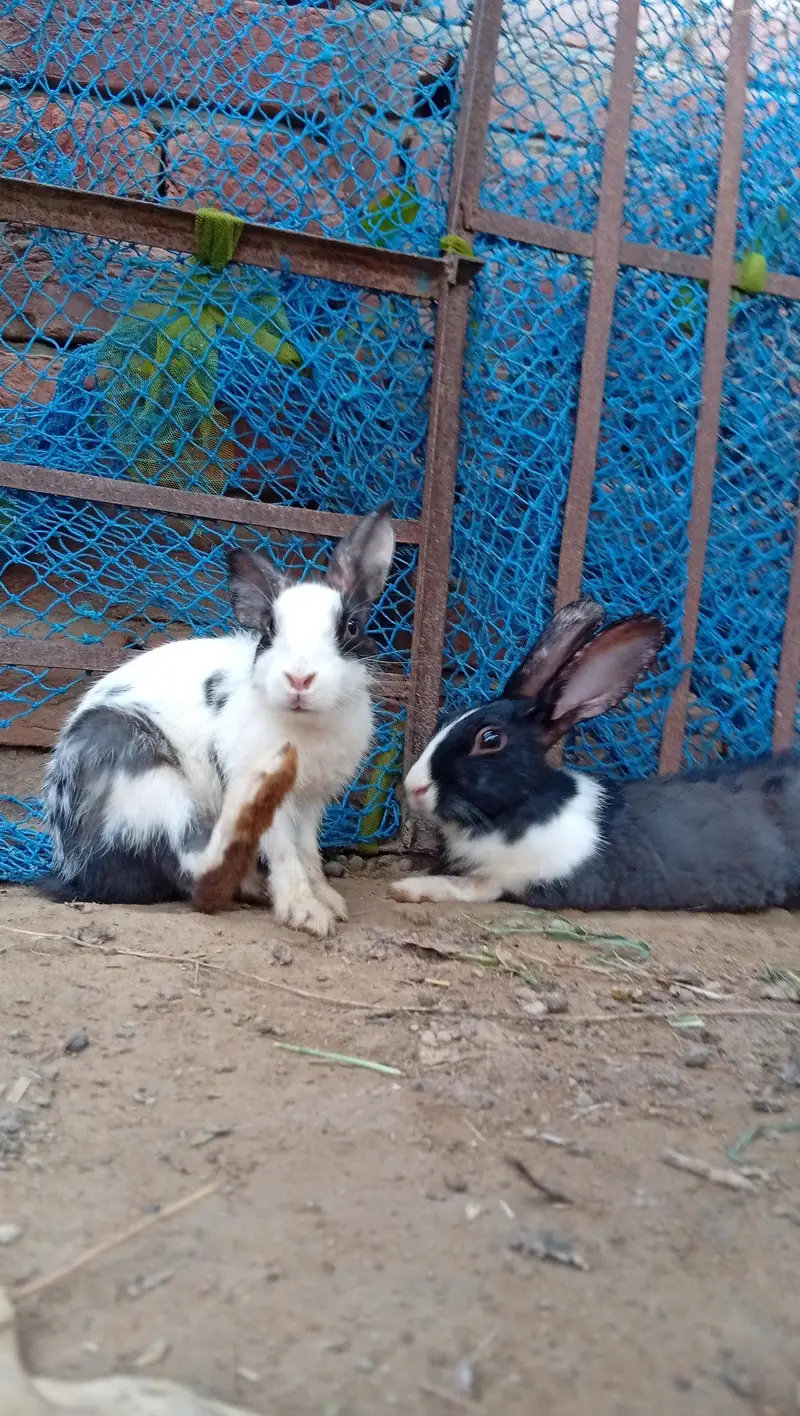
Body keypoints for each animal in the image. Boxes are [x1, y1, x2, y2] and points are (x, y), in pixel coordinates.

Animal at [43, 505, 396, 936]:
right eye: (270, 630)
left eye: (350, 627)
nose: (299, 678)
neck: (305, 725)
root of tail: (77, 872)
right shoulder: (276, 806)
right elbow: (286, 855)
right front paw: (307, 913)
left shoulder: (312, 804)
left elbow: (308, 853)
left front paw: (328, 900)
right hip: (147, 777)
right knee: (200, 875)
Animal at [390, 599, 800, 913]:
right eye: (448, 717)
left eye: (490, 739)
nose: (413, 788)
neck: (517, 811)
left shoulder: (530, 878)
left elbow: (475, 887)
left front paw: (410, 888)